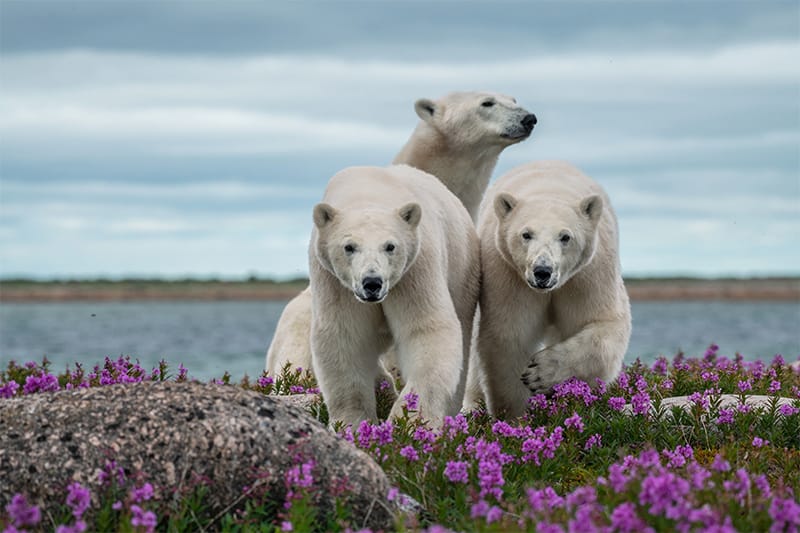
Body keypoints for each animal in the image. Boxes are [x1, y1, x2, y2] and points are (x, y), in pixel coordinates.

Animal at [310, 164, 478, 426]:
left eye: (390, 246)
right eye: (349, 247)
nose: (372, 282)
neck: (367, 192)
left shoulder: (415, 268)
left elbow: (426, 329)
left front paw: (410, 419)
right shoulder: (334, 282)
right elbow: (344, 337)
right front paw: (352, 422)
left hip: (461, 269)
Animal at [468, 160, 632, 418]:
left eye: (565, 237)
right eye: (526, 234)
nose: (542, 271)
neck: (549, 190)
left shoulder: (587, 275)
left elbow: (601, 325)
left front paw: (542, 373)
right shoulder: (508, 274)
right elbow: (510, 334)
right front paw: (515, 414)